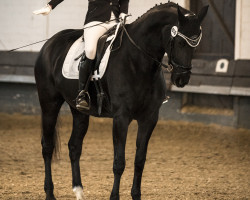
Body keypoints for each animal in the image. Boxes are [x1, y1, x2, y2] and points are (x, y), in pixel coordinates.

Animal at [34, 1, 208, 200]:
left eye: (195, 45)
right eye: (179, 42)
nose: (181, 79)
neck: (138, 61)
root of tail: (49, 43)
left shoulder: (149, 118)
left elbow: (140, 160)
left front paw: (136, 195)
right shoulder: (121, 118)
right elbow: (119, 162)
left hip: (79, 110)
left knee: (74, 146)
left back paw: (78, 190)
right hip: (49, 104)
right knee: (47, 147)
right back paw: (50, 193)